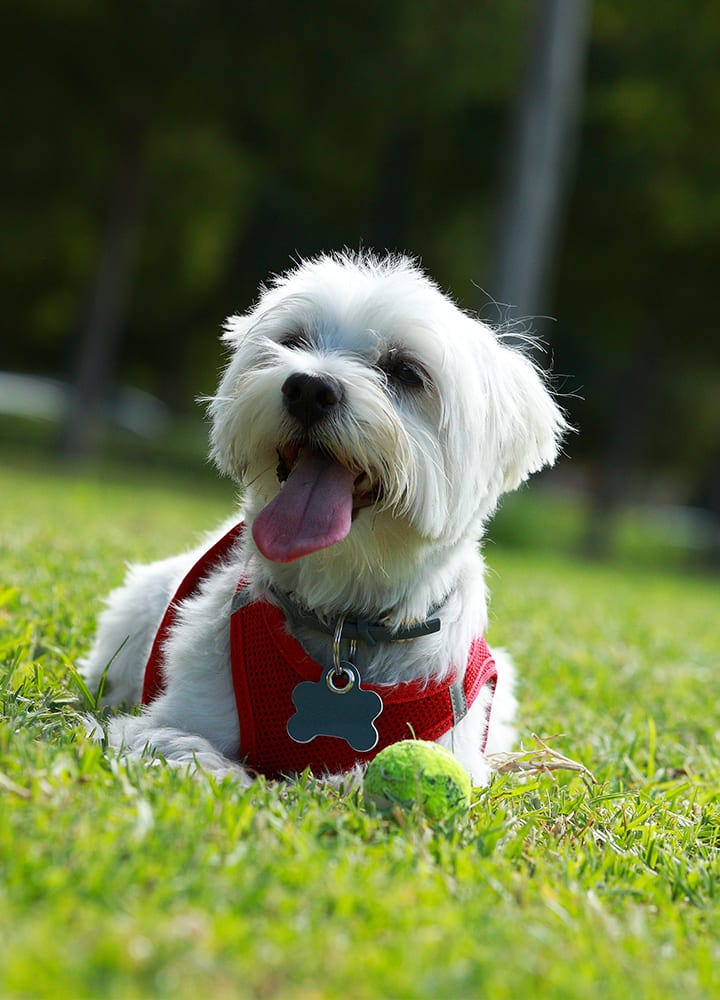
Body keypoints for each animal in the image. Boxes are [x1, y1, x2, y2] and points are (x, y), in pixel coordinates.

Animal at [81, 252, 564, 788]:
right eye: (293, 341)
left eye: (406, 371)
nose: (309, 387)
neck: (343, 625)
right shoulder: (177, 712)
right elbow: (179, 742)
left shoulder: (452, 743)